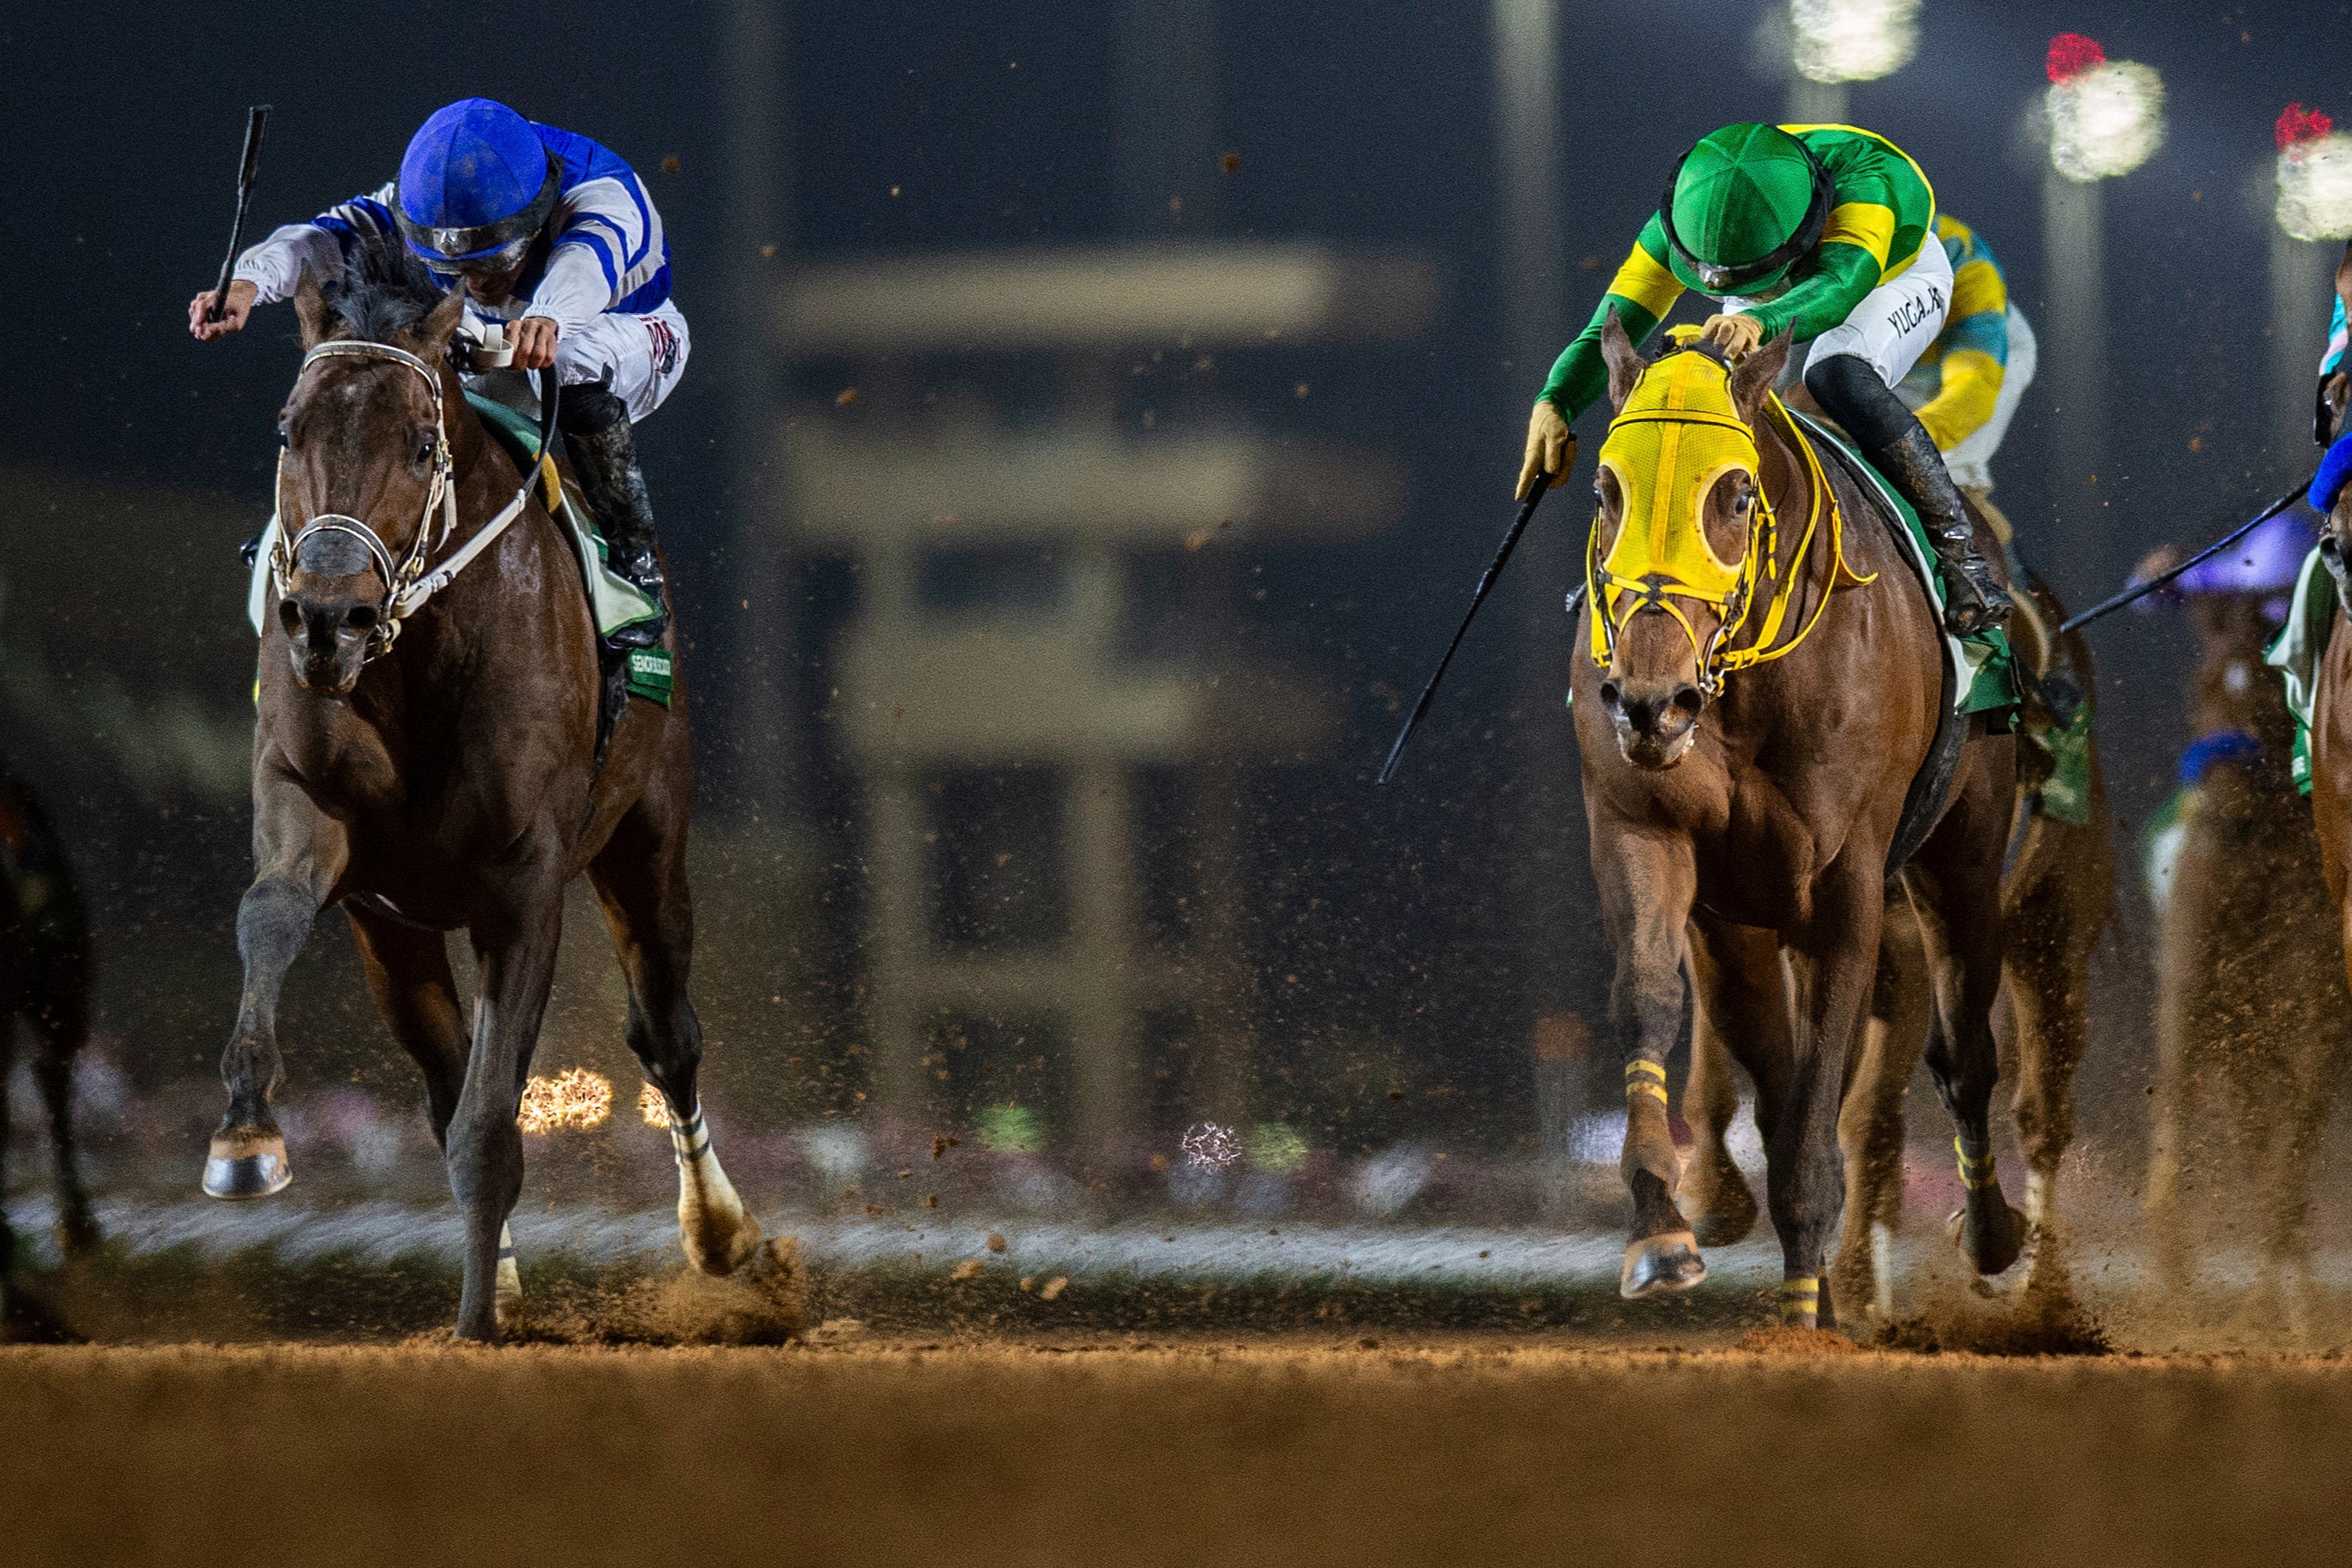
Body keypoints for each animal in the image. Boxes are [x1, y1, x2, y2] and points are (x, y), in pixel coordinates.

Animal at [217, 251, 766, 1344]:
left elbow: (492, 1122)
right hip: (397, 934)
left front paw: (479, 1326)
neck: (418, 655)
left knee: (666, 1036)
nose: (328, 618)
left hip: (648, 836)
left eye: (420, 442)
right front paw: (246, 1130)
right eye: (289, 432)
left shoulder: (523, 885)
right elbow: (271, 912)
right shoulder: (320, 818)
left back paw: (720, 1234)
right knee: (443, 1082)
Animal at [1561, 315, 2023, 1325]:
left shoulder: (1844, 888)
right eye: (1606, 489)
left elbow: (1819, 1120)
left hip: (1965, 854)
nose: (1649, 703)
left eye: (1735, 493)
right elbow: (1652, 1000)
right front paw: (1662, 1229)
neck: (1739, 689)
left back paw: (1993, 1235)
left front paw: (1808, 1309)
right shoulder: (1650, 836)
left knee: (1965, 1052)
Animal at [1684, 557, 2126, 1316]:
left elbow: (1865, 1111)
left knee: (2042, 1109)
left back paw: (2038, 1282)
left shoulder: (1893, 933)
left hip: (2051, 919)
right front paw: (1711, 1192)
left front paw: (1855, 1279)